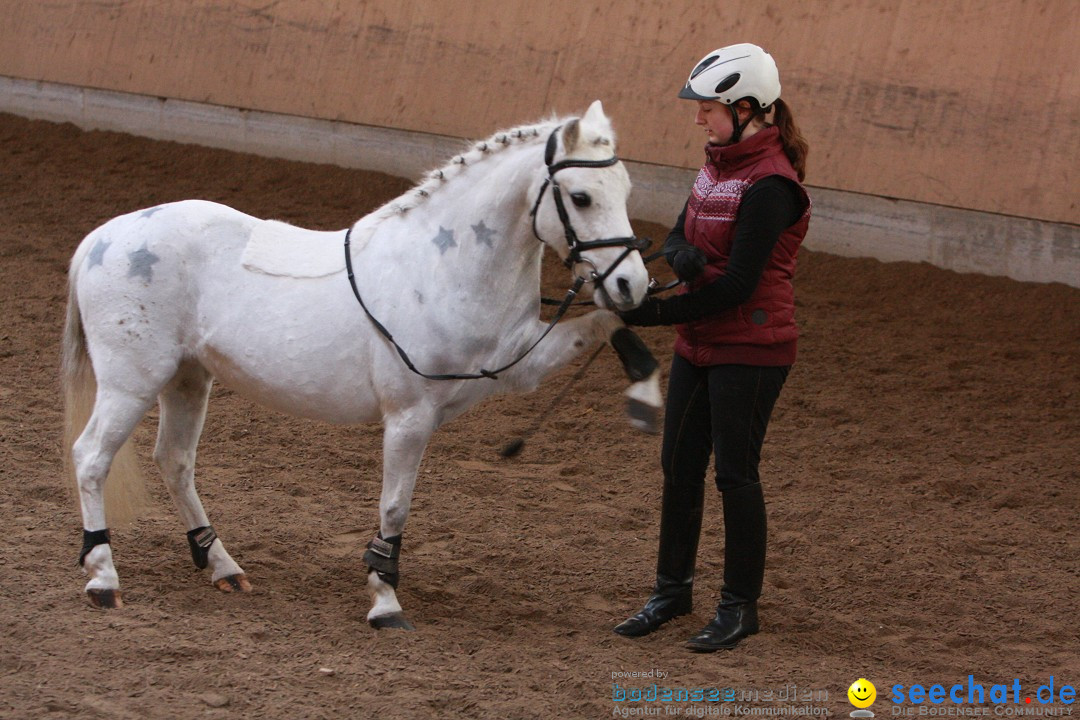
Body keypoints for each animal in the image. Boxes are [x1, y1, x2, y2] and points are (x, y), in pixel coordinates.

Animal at [67, 101, 660, 630]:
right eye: (581, 196)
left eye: (627, 190)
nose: (632, 283)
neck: (440, 267)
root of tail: (102, 237)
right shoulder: (409, 416)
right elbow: (394, 507)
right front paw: (385, 602)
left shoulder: (519, 365)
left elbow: (607, 325)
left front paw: (646, 398)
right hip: (131, 382)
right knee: (92, 457)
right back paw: (103, 579)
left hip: (188, 379)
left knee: (174, 461)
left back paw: (223, 568)